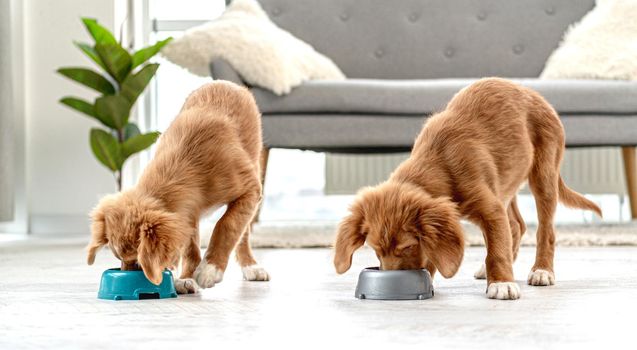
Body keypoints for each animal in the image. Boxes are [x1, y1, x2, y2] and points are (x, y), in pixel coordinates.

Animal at [332, 78, 600, 300]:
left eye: (407, 246)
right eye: (376, 250)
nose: (393, 280)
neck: (439, 163)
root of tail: (536, 95)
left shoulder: (489, 208)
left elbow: (496, 249)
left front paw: (502, 283)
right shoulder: (491, 203)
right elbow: (498, 238)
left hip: (544, 174)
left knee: (545, 230)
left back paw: (542, 271)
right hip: (506, 183)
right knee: (516, 225)